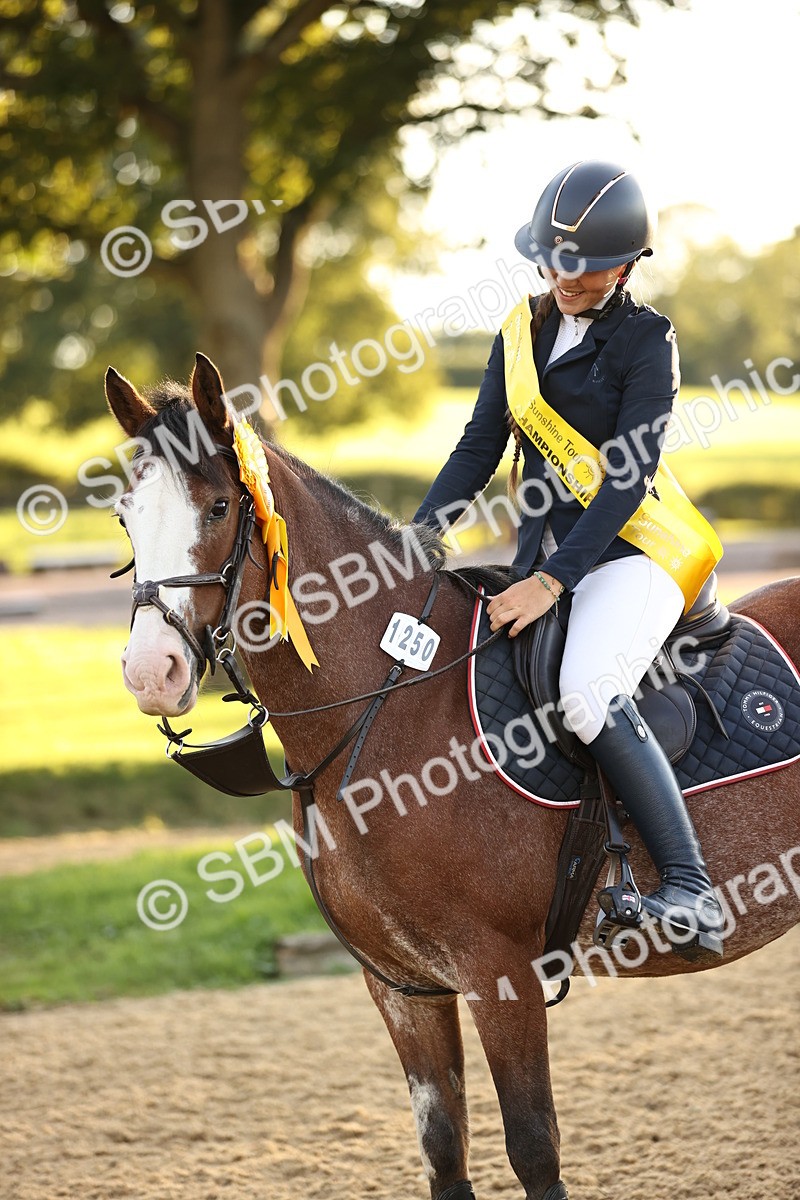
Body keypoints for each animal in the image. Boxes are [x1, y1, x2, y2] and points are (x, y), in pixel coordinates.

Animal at [105, 353, 800, 1200]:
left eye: (215, 507)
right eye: (125, 516)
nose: (152, 673)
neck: (389, 699)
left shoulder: (500, 975)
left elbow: (533, 1147)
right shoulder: (403, 987)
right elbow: (443, 1150)